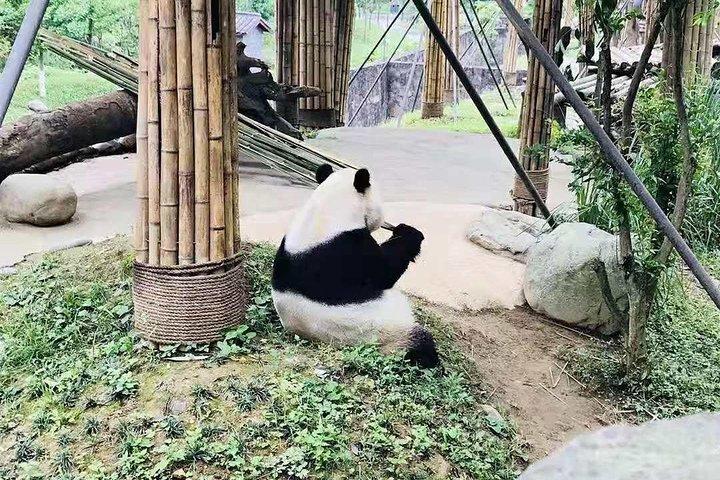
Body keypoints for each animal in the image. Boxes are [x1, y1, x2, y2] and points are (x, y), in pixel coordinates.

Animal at [271, 164, 440, 368]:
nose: (385, 222)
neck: (326, 210)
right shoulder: (348, 249)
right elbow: (385, 272)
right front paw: (409, 233)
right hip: (383, 334)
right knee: (418, 342)